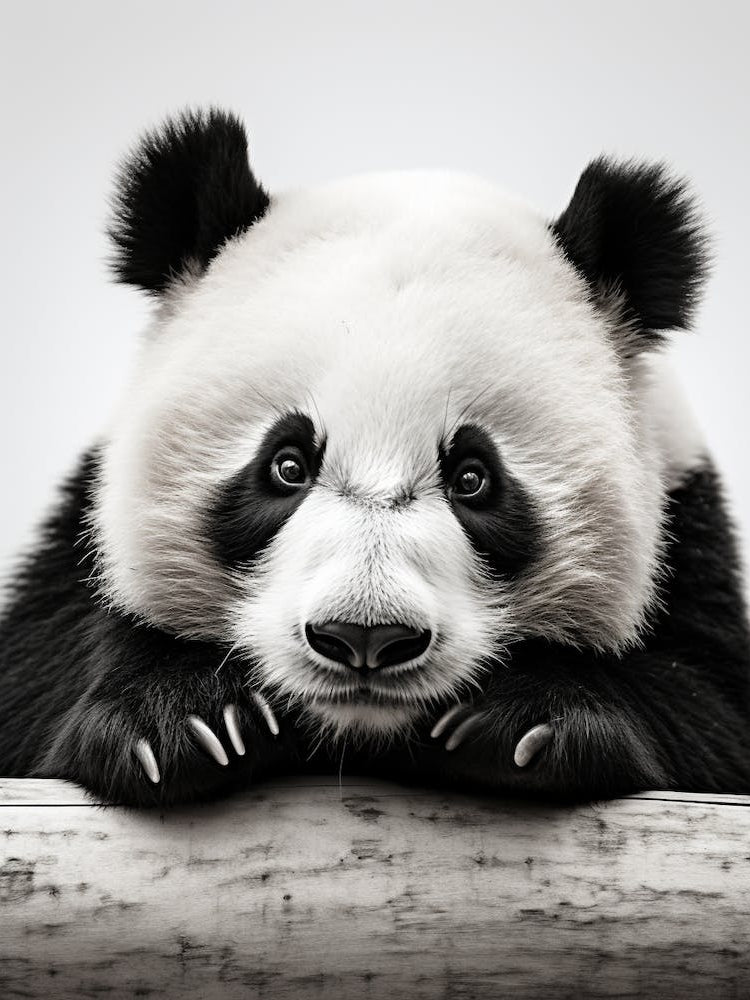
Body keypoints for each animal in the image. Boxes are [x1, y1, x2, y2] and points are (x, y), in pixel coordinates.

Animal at [1, 107, 748, 806]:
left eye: (474, 478)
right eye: (286, 465)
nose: (364, 638)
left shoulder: (689, 524)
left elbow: (709, 707)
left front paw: (527, 723)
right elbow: (37, 676)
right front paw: (185, 719)